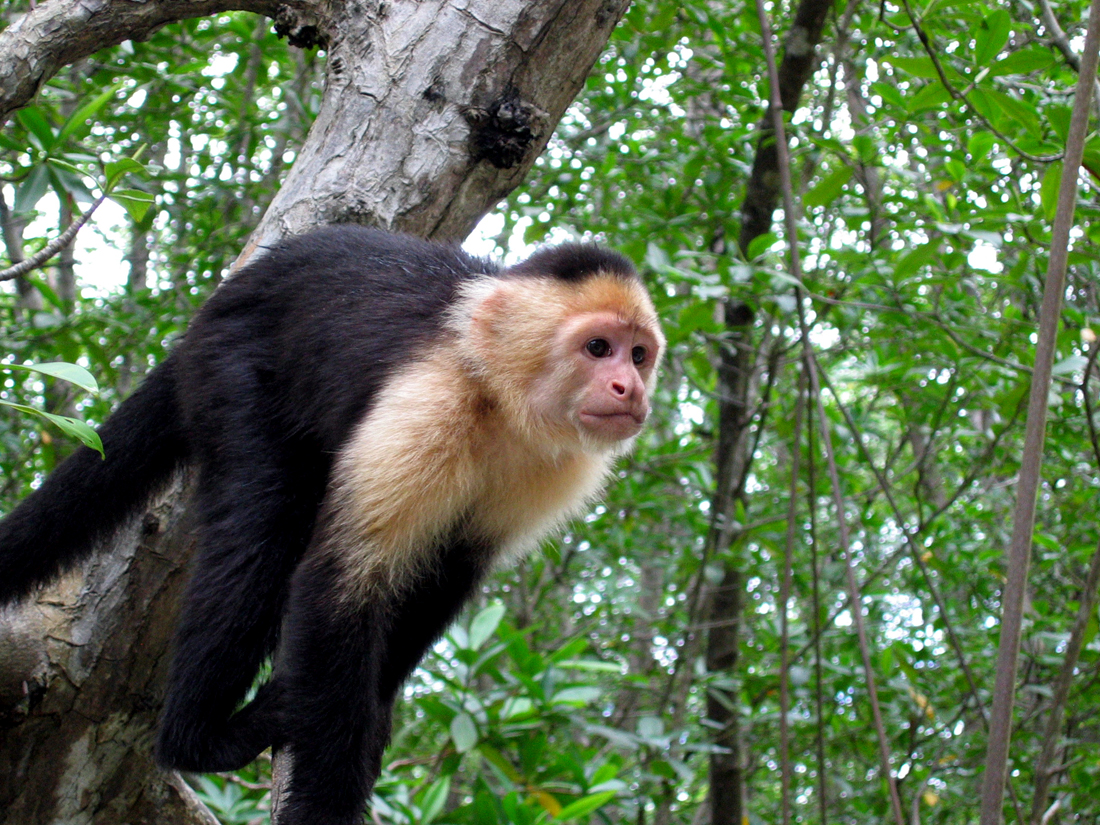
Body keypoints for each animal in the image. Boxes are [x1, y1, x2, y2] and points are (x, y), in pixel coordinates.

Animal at [0, 226, 660, 825]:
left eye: (639, 355)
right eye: (597, 347)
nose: (630, 389)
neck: (499, 399)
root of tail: (217, 306)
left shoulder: (557, 468)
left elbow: (444, 577)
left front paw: (374, 718)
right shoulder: (429, 402)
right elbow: (338, 582)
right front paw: (327, 797)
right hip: (231, 362)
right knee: (264, 526)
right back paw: (194, 740)